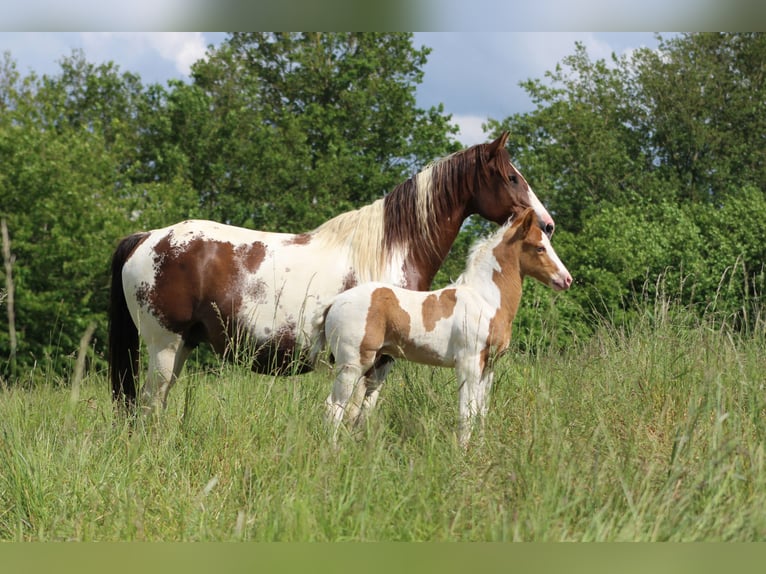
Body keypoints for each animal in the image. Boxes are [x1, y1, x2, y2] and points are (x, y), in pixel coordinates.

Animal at [108, 132, 556, 416]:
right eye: (512, 177)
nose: (548, 224)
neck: (390, 249)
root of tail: (147, 238)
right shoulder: (372, 361)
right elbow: (355, 414)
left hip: (181, 346)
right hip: (164, 346)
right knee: (148, 406)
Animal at [316, 209, 572, 448]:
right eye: (539, 248)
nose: (567, 279)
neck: (485, 299)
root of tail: (334, 302)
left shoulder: (489, 366)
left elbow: (482, 411)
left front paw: (479, 448)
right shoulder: (469, 363)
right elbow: (467, 412)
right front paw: (463, 452)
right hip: (352, 363)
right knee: (334, 406)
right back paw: (334, 450)